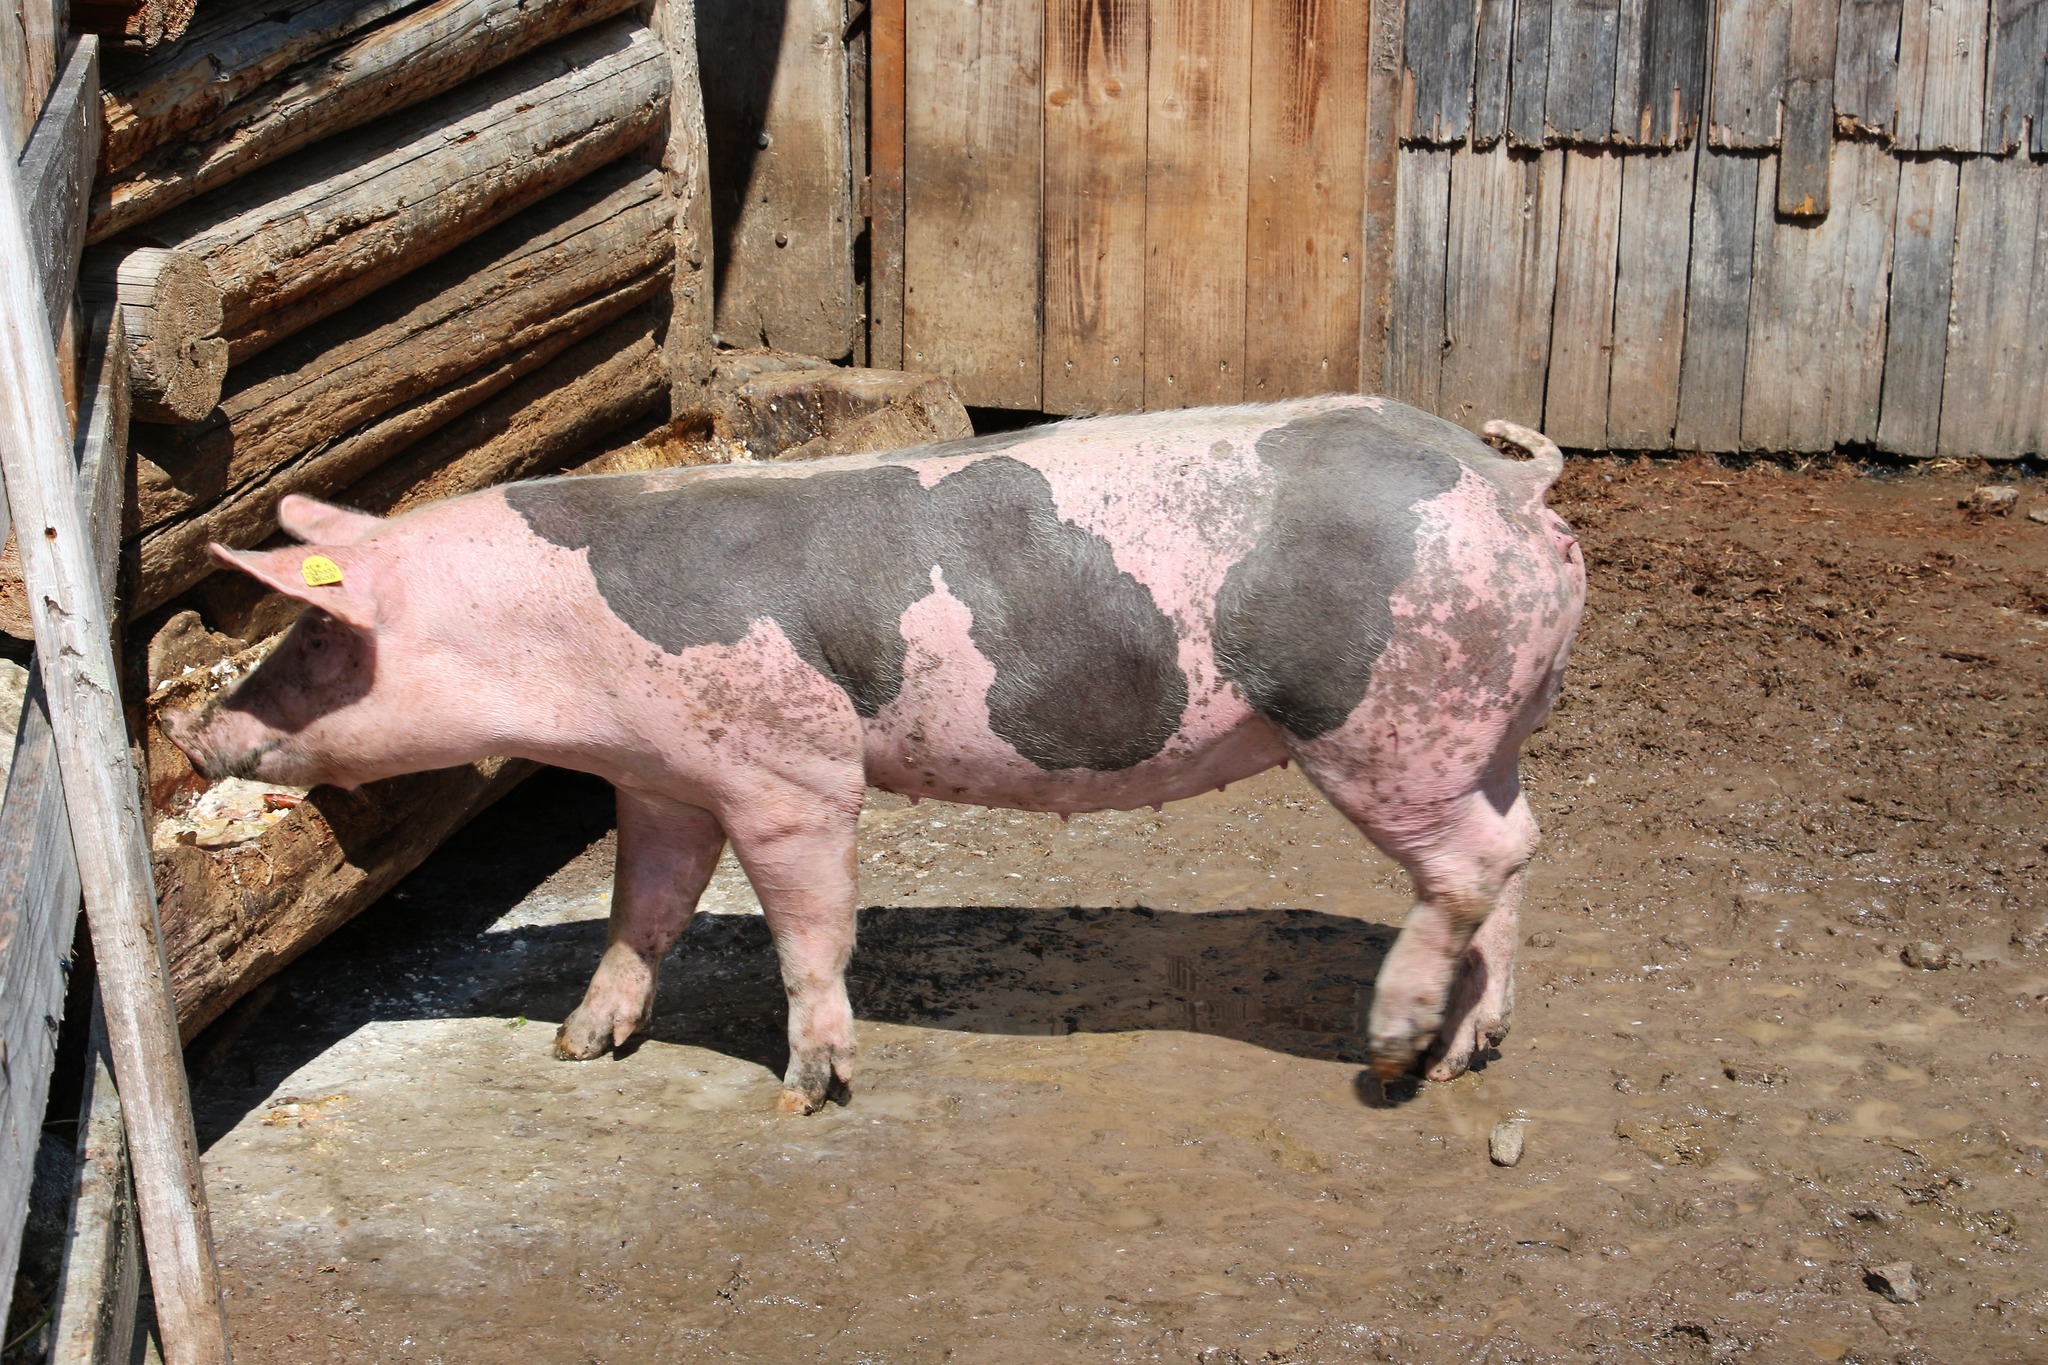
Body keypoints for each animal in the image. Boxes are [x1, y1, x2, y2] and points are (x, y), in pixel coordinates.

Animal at [164, 395, 1586, 1113]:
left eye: (312, 636)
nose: (188, 728)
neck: (556, 649)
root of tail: (1504, 481)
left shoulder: (785, 771)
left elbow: (809, 929)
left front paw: (808, 1090)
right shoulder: (660, 780)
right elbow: (644, 911)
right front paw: (578, 1047)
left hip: (1381, 721)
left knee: (1470, 868)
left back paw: (1390, 1056)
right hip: (1476, 728)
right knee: (1516, 855)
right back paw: (1472, 1049)